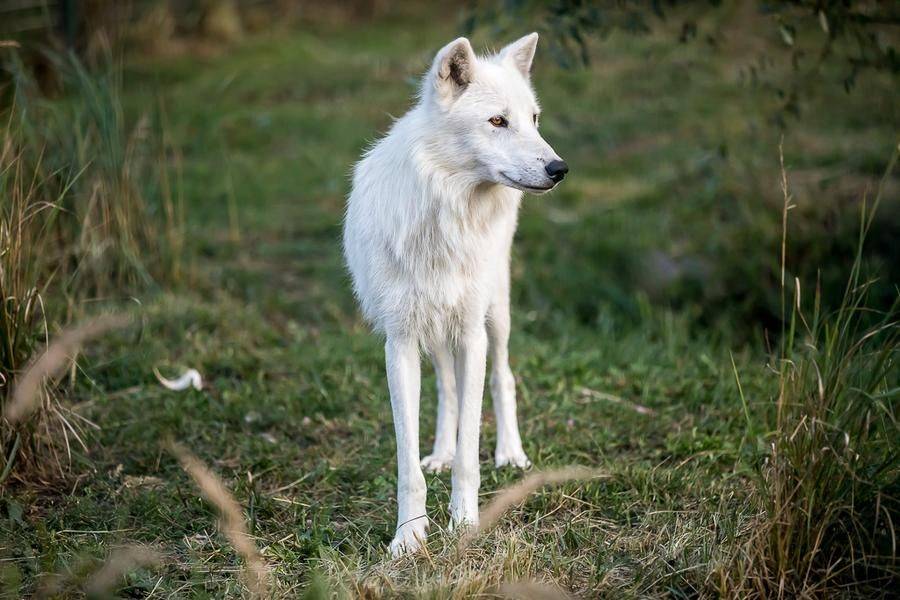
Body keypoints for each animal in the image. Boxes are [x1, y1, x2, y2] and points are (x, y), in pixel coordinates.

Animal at [342, 34, 568, 556]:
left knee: (503, 379)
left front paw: (464, 524)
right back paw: (440, 453)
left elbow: (471, 451)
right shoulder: (401, 344)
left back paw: (511, 453)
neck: (446, 214)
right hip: (438, 333)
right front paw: (408, 537)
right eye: (497, 121)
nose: (559, 168)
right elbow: (408, 465)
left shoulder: (471, 335)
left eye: (534, 119)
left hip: (496, 316)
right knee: (446, 387)